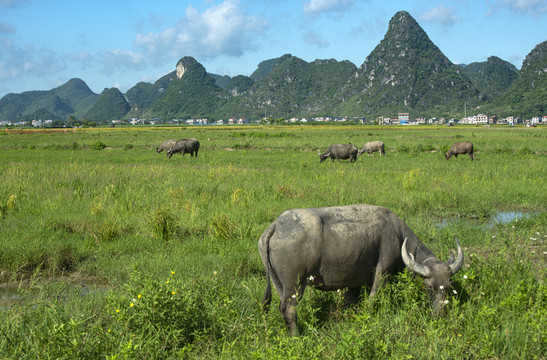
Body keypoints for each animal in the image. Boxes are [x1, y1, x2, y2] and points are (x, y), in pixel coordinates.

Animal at [260, 204, 464, 336]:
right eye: (429, 287)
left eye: (448, 287)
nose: (439, 314)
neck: (399, 236)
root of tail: (277, 225)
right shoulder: (383, 272)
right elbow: (373, 299)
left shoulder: (353, 284)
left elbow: (349, 304)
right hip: (295, 283)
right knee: (289, 309)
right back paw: (297, 336)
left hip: (279, 283)